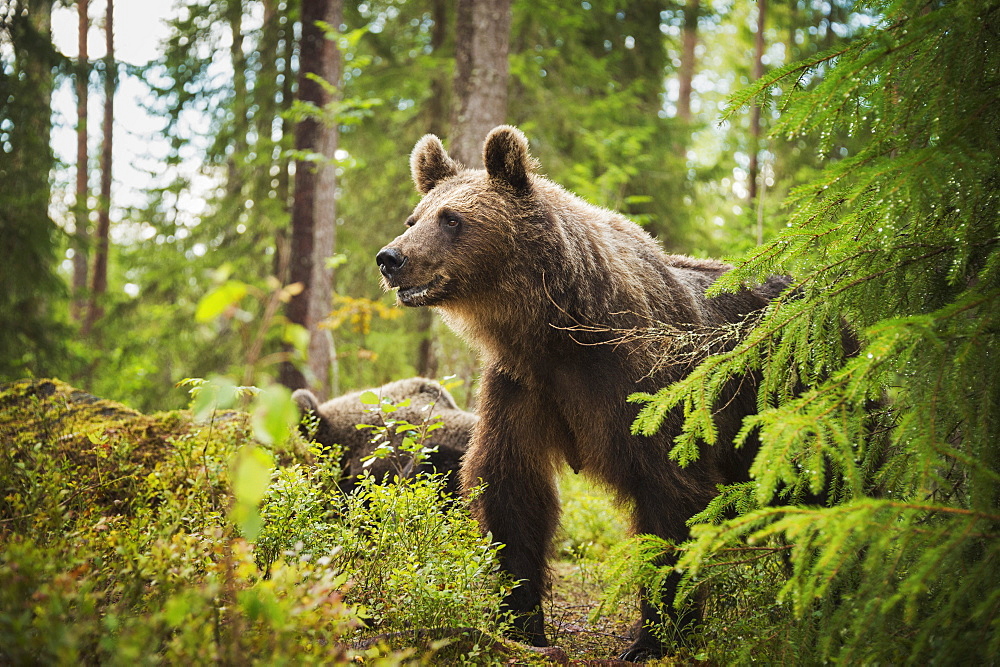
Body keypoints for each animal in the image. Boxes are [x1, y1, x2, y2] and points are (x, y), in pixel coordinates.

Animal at [378, 128, 792, 660]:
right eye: (414, 218)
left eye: (452, 218)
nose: (391, 258)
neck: (558, 327)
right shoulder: (522, 387)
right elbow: (511, 488)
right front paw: (522, 625)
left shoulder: (640, 388)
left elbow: (670, 496)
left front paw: (656, 635)